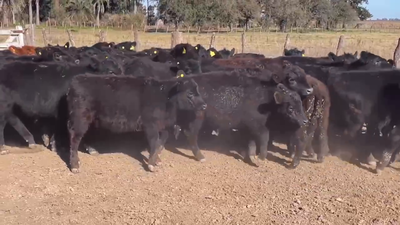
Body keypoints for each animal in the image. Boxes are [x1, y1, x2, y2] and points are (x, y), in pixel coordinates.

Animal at [66, 74, 208, 172]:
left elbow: (160, 142)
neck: (164, 97)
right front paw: (151, 164)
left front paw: (156, 160)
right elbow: (154, 141)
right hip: (80, 119)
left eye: (198, 91)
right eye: (190, 93)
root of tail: (77, 79)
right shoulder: (150, 124)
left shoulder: (162, 126)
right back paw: (74, 165)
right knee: (74, 138)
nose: (204, 105)